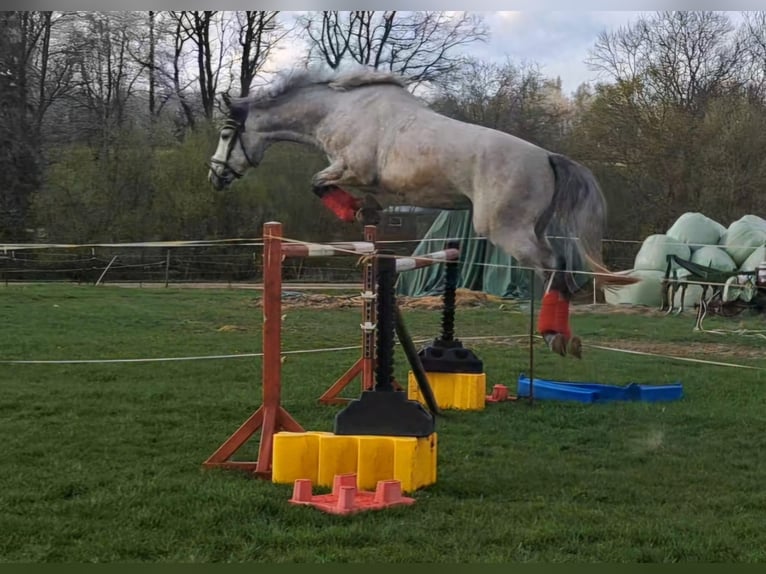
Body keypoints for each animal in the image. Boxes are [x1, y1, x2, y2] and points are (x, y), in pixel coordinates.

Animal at [207, 66, 636, 358]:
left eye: (227, 134)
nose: (215, 177)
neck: (337, 110)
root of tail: (547, 157)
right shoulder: (365, 179)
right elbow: (366, 203)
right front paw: (365, 214)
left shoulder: (352, 168)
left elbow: (318, 183)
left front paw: (350, 210)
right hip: (535, 226)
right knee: (561, 270)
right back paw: (565, 338)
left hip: (505, 229)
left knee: (554, 267)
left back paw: (552, 335)